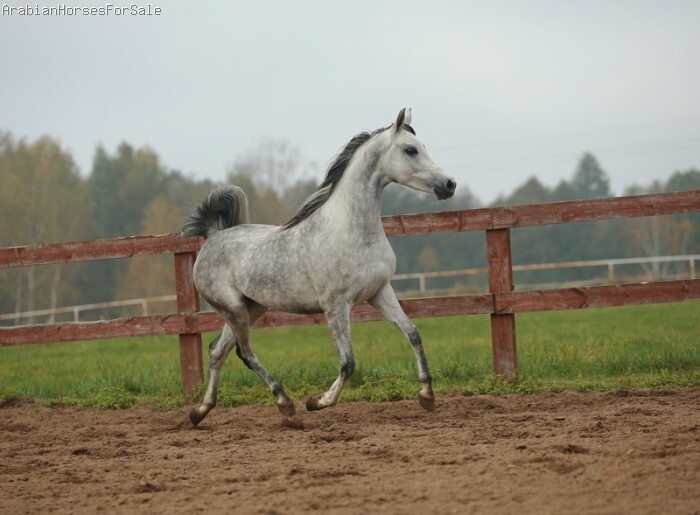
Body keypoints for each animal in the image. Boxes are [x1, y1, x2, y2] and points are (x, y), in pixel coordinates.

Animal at [183, 108, 456, 427]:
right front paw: (318, 402)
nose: (449, 185)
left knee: (217, 351)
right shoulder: (335, 305)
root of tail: (211, 237)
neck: (354, 231)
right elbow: (348, 362)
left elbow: (412, 333)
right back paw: (286, 404)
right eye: (410, 149)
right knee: (244, 353)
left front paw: (427, 396)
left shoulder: (380, 293)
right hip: (234, 310)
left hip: (250, 308)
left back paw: (201, 411)